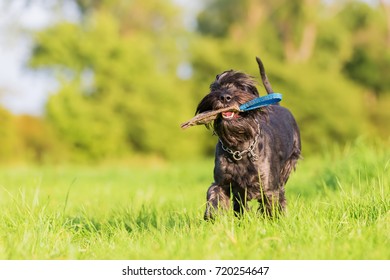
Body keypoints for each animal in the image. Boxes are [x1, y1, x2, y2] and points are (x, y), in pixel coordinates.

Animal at [195, 57, 302, 220]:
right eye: (215, 88)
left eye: (242, 87)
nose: (224, 97)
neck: (239, 147)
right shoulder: (222, 183)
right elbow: (214, 196)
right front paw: (213, 216)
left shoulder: (268, 187)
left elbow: (271, 206)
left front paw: (273, 221)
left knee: (282, 193)